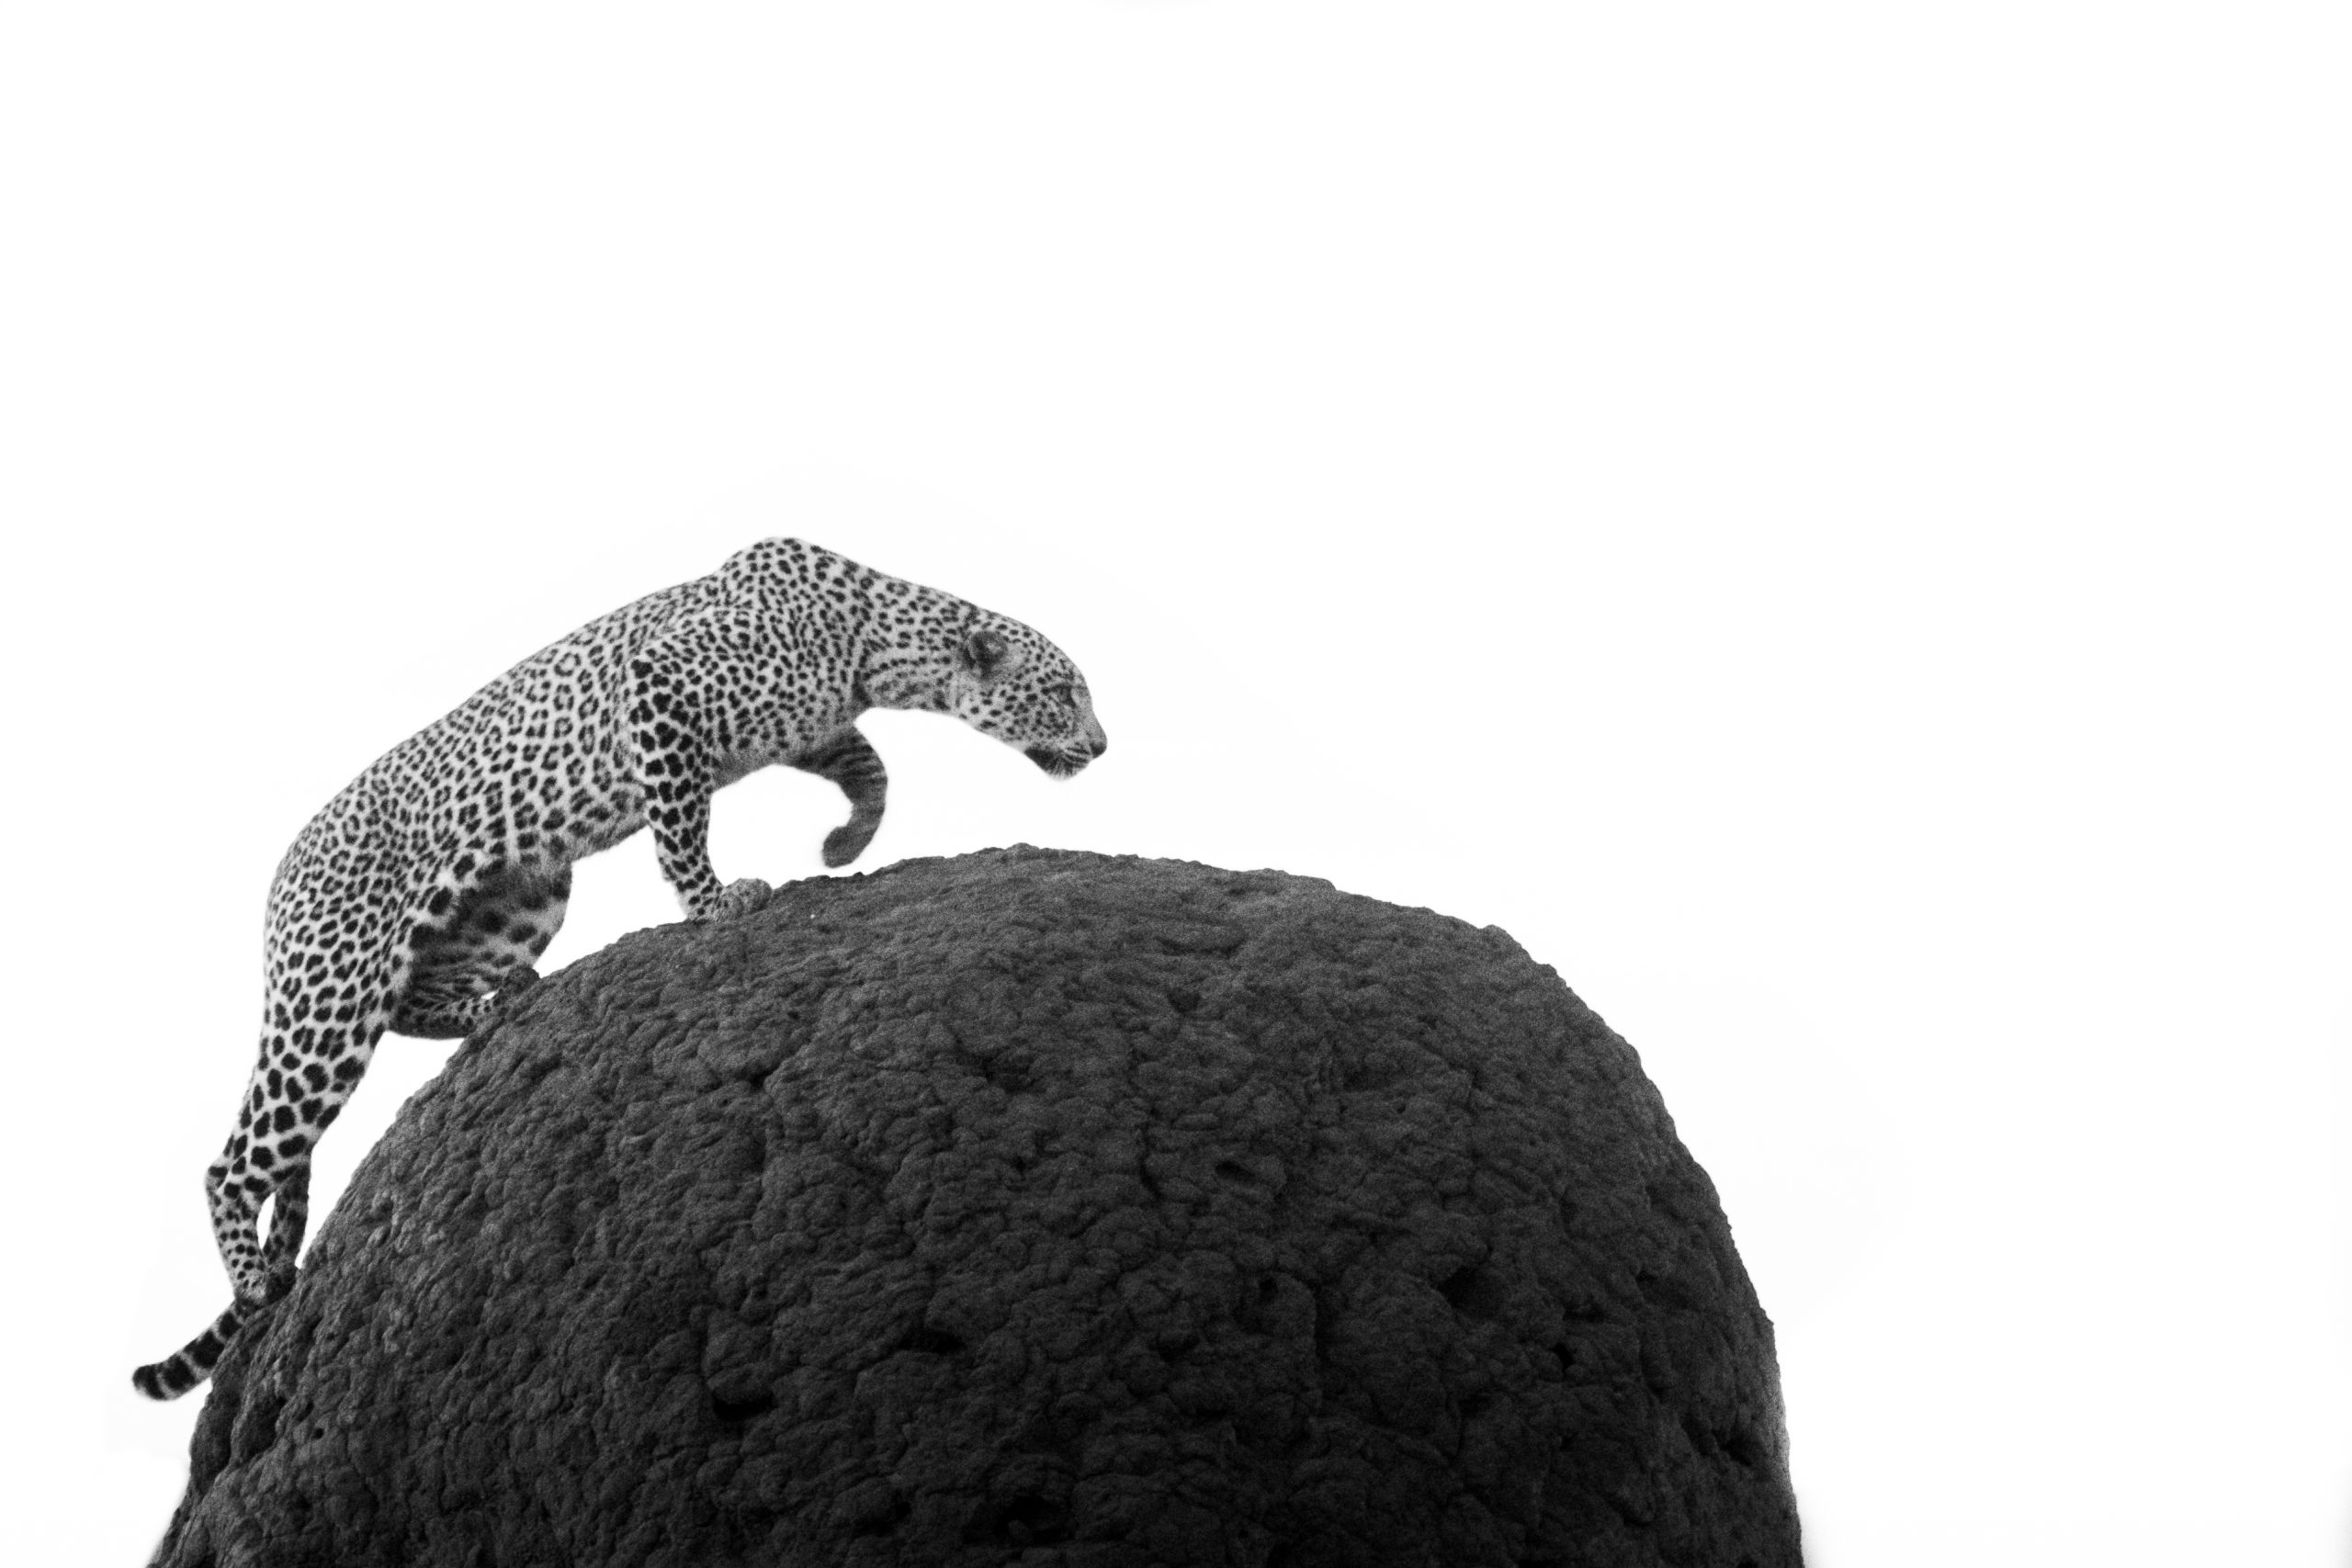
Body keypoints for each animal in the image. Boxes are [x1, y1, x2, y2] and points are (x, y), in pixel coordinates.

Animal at [132, 537, 1107, 1398]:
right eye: (1065, 690)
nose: (1101, 745)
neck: (872, 639)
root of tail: (280, 879)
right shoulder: (662, 689)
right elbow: (683, 828)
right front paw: (716, 902)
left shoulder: (807, 728)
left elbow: (871, 766)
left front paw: (845, 843)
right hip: (333, 991)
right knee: (236, 1158)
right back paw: (256, 1282)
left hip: (524, 896)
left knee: (417, 1002)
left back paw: (502, 1002)